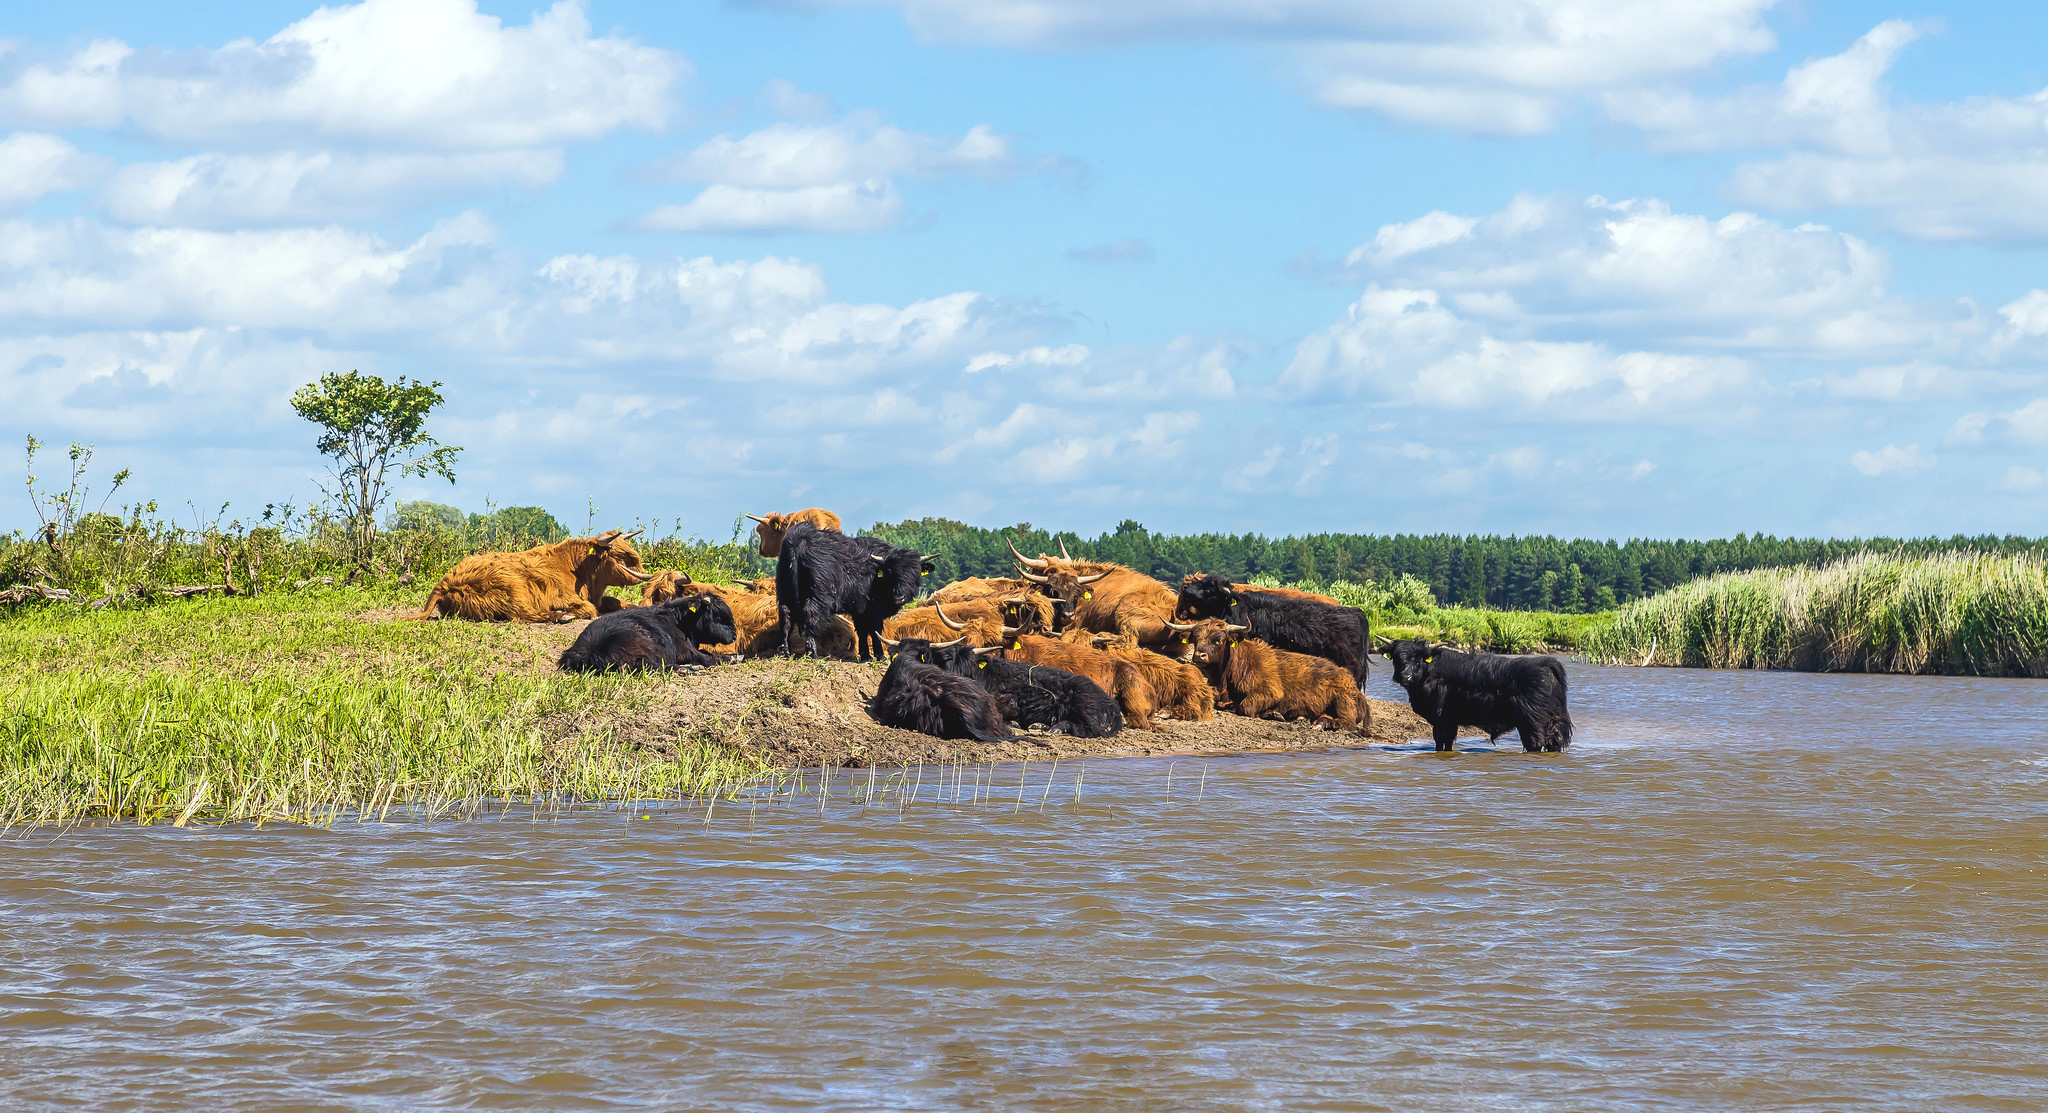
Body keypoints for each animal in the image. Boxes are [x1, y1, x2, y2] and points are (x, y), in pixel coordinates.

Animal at [409, 528, 647, 623]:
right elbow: (589, 609)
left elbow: (615, 601)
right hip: (513, 588)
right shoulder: (562, 596)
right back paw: (561, 616)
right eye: (620, 556)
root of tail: (444, 583)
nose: (644, 575)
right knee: (523, 614)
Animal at [557, 598, 741, 676]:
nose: (734, 635)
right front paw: (734, 657)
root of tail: (581, 652)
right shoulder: (686, 651)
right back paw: (687, 669)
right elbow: (710, 658)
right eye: (717, 616)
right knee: (646, 666)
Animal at [1196, 623, 1368, 737]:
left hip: (1342, 700)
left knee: (1346, 723)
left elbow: (1245, 707)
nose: (1199, 655)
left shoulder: (1270, 691)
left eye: (1218, 640)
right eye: (1195, 638)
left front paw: (1273, 714)